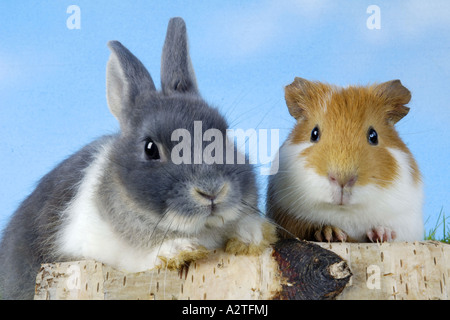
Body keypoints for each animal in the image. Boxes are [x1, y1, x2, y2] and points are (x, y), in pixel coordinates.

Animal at [0, 18, 276, 300]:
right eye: (150, 148)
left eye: (224, 134)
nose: (211, 191)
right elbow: (140, 258)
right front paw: (179, 249)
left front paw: (252, 235)